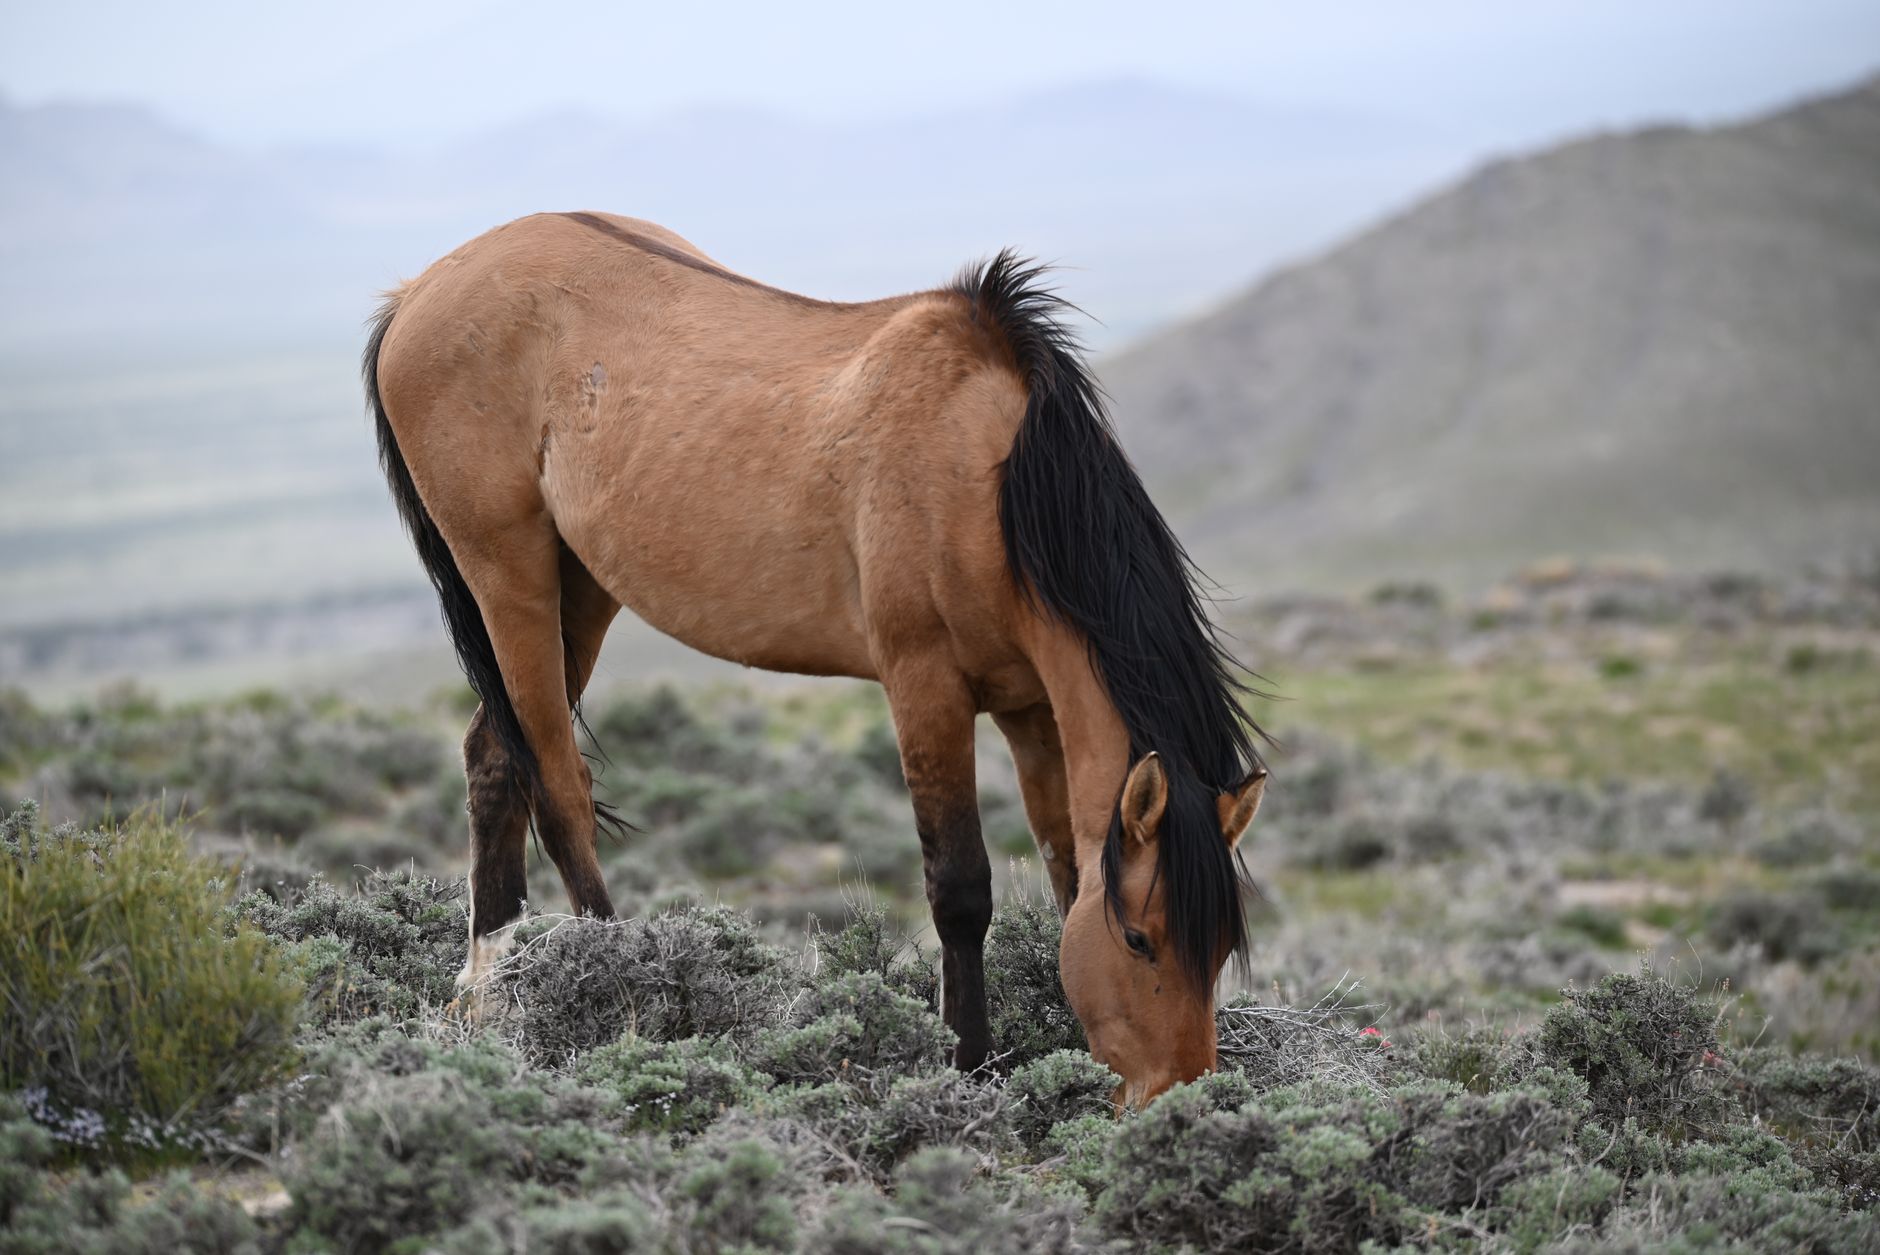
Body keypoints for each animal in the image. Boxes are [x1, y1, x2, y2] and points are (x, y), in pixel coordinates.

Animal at [364, 212, 1269, 1106]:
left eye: (1224, 942)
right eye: (1140, 938)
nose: (1183, 1092)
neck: (990, 479)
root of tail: (419, 292)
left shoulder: (1031, 708)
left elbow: (1064, 872)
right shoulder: (925, 686)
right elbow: (960, 887)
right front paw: (968, 1062)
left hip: (580, 586)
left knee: (494, 755)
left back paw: (488, 994)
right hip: (507, 572)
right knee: (555, 784)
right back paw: (612, 985)